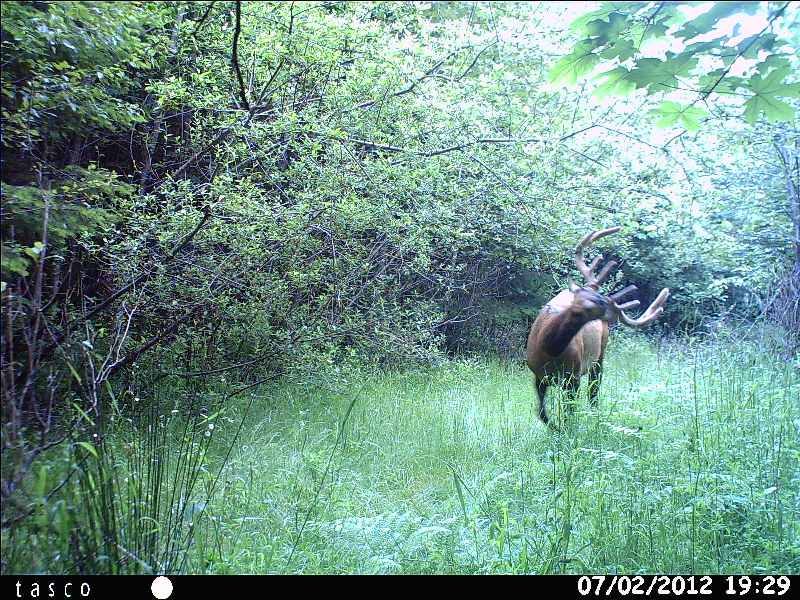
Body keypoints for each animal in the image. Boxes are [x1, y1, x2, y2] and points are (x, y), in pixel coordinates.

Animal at [526, 226, 670, 426]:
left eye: (600, 303)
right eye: (579, 294)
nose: (586, 303)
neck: (549, 350)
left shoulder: (573, 376)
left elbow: (570, 411)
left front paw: (566, 429)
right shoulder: (538, 375)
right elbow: (541, 413)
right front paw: (555, 427)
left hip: (600, 354)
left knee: (594, 391)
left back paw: (595, 415)